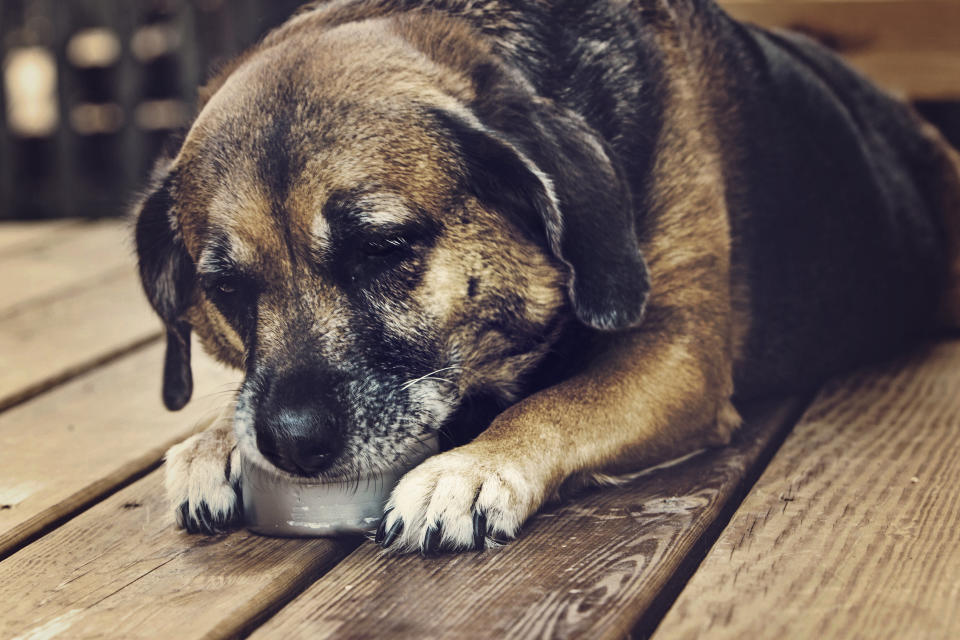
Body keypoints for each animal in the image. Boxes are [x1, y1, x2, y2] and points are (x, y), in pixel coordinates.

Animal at [133, 0, 960, 552]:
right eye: (228, 288)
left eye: (383, 246)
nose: (290, 443)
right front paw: (215, 439)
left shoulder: (677, 354)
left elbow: (558, 404)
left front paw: (471, 468)